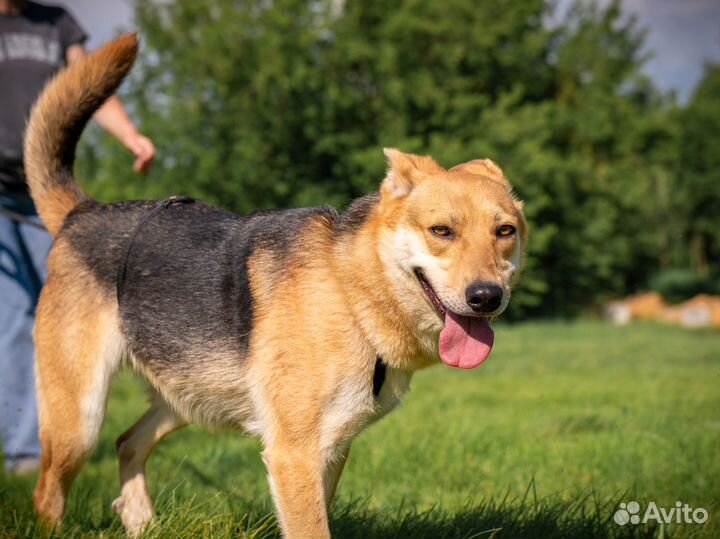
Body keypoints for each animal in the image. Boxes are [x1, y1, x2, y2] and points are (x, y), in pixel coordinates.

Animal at [25, 34, 524, 539]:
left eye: (505, 232)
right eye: (441, 231)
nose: (486, 297)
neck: (351, 290)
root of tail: (82, 213)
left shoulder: (331, 450)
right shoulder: (294, 455)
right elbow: (311, 528)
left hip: (186, 399)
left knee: (127, 442)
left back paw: (142, 522)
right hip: (80, 420)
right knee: (49, 490)